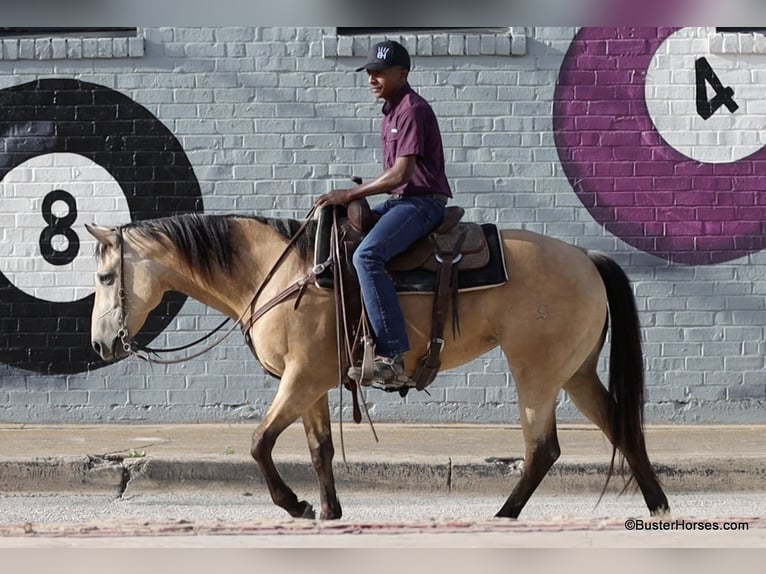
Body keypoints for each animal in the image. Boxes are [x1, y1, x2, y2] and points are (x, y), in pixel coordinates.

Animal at [86, 211, 670, 520]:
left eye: (106, 277)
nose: (100, 345)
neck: (283, 273)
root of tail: (586, 258)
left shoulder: (300, 379)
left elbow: (258, 442)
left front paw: (294, 505)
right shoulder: (312, 384)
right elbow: (319, 450)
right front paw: (329, 511)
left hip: (538, 372)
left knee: (543, 448)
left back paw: (505, 515)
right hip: (575, 372)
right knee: (621, 428)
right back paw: (659, 507)